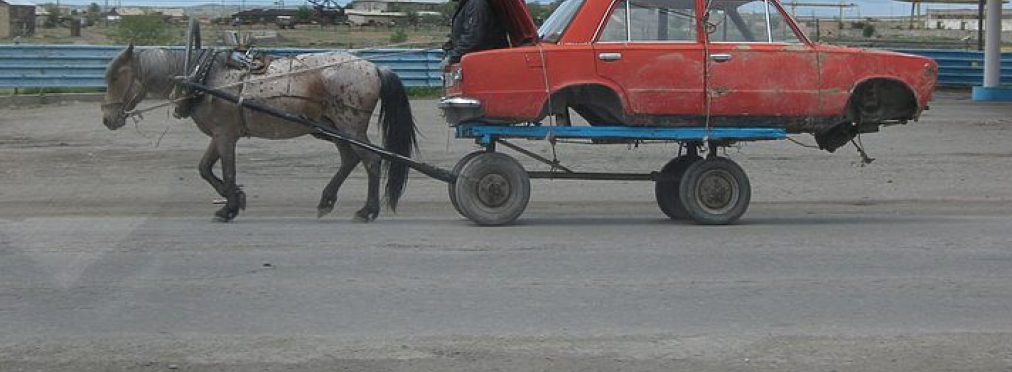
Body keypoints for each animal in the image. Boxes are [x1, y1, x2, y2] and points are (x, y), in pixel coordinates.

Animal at [100, 44, 416, 222]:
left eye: (116, 77)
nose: (107, 118)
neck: (203, 77)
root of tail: (373, 67)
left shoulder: (226, 135)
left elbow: (227, 171)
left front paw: (228, 208)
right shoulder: (220, 134)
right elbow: (204, 169)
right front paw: (236, 198)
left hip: (350, 125)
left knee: (371, 161)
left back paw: (368, 210)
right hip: (334, 127)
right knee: (350, 159)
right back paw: (327, 200)